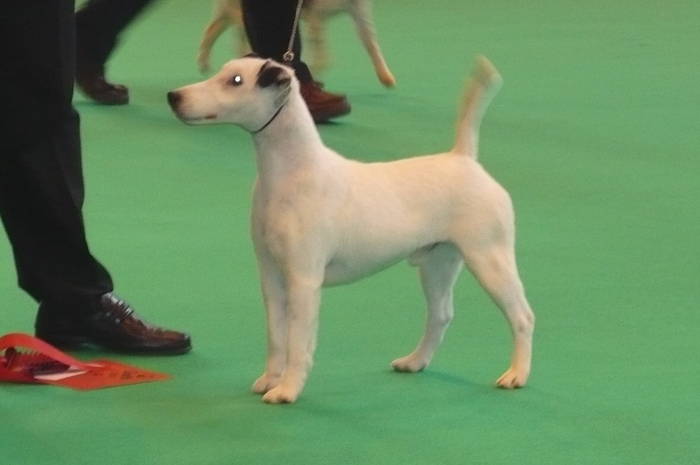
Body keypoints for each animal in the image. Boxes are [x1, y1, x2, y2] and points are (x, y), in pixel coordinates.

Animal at [168, 55, 536, 402]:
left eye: (235, 81)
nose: (174, 96)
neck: (289, 174)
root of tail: (464, 159)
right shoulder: (271, 275)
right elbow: (276, 337)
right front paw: (270, 380)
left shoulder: (303, 281)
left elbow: (297, 342)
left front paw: (287, 390)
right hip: (438, 263)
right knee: (440, 315)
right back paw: (414, 361)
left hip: (489, 258)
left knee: (522, 317)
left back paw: (516, 374)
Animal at [197, 0, 396, 86]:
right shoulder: (316, 17)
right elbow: (323, 55)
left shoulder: (359, 11)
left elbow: (371, 44)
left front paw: (386, 76)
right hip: (239, 12)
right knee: (229, 35)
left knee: (212, 29)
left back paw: (204, 63)